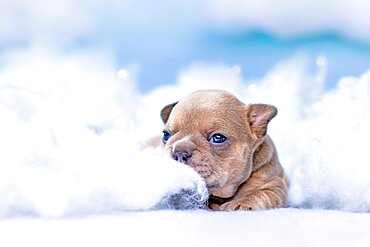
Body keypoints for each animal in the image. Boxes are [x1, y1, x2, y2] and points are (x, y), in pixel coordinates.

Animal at [160, 89, 288, 209]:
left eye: (218, 138)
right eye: (166, 135)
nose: (179, 152)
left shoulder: (275, 185)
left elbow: (262, 194)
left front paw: (241, 202)